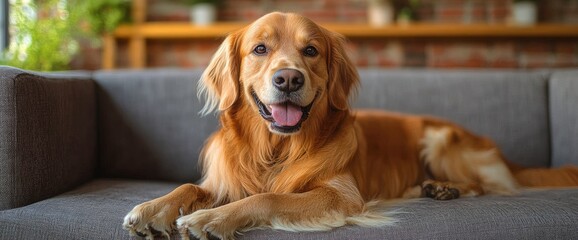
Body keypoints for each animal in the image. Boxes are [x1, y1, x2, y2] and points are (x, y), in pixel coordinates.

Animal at [124, 11, 576, 240]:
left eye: (310, 51)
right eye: (260, 49)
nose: (288, 79)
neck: (276, 149)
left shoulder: (339, 195)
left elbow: (267, 198)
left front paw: (209, 220)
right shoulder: (224, 181)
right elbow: (190, 187)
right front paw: (151, 208)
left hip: (441, 140)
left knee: (489, 185)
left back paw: (446, 188)